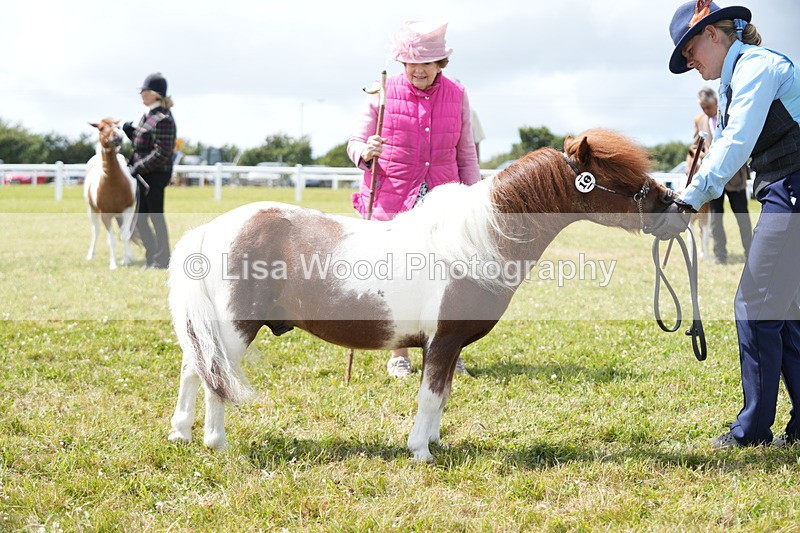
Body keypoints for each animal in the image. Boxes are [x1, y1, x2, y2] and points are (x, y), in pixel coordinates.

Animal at [83, 118, 138, 270]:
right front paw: (113, 264)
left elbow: (125, 234)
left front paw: (126, 260)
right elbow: (111, 239)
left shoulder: (127, 210)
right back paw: (90, 255)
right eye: (101, 128)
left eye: (118, 126)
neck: (112, 183)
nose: (117, 137)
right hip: (92, 211)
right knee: (95, 231)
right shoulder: (105, 214)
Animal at [167, 128, 672, 462]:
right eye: (624, 179)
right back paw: (215, 441)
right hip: (235, 330)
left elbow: (442, 395)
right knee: (213, 377)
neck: (477, 241)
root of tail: (213, 229)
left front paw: (434, 443)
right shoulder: (443, 340)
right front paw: (421, 453)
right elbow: (430, 396)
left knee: (193, 369)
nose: (677, 207)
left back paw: (180, 435)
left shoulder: (447, 346)